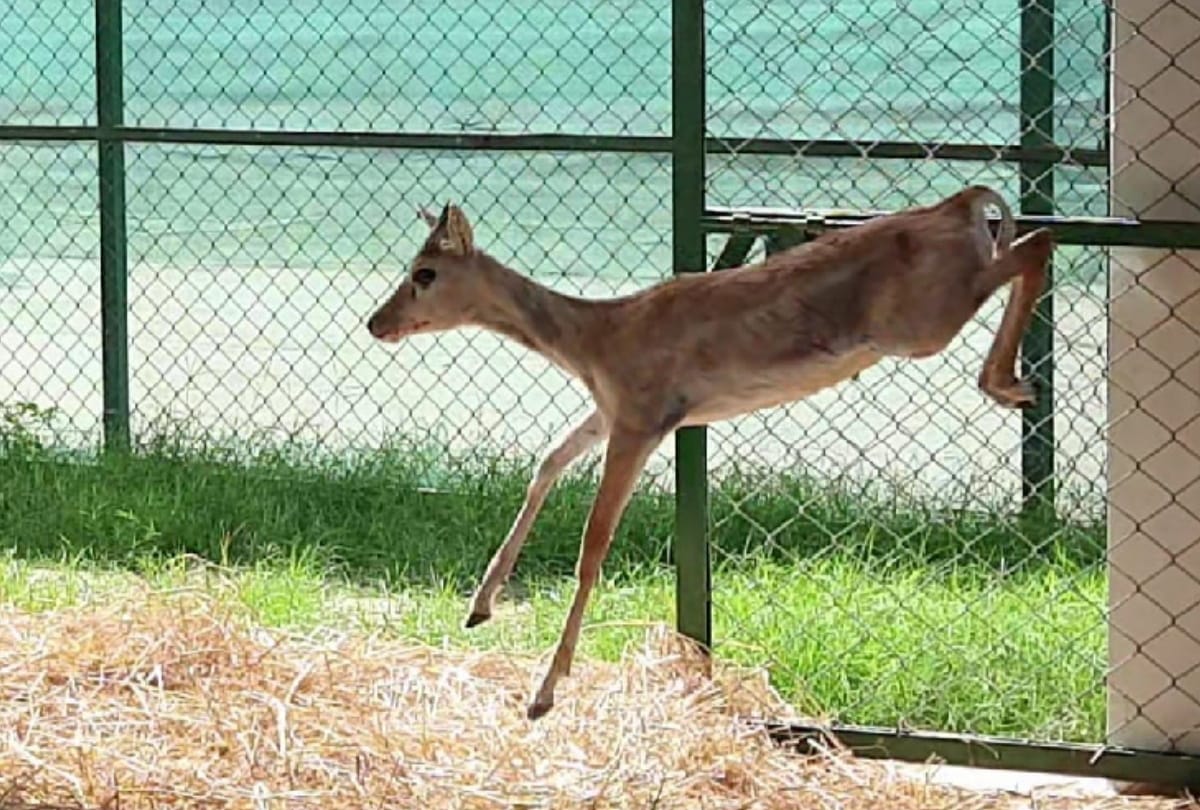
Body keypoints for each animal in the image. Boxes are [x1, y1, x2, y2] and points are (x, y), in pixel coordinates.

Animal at [365, 185, 1054, 721]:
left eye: (424, 273)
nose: (376, 323)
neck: (596, 340)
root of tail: (958, 204)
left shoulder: (642, 416)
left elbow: (592, 547)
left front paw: (543, 694)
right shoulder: (614, 410)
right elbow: (548, 462)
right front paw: (479, 606)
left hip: (920, 322)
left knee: (1036, 243)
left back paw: (1006, 383)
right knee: (1031, 241)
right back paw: (1014, 382)